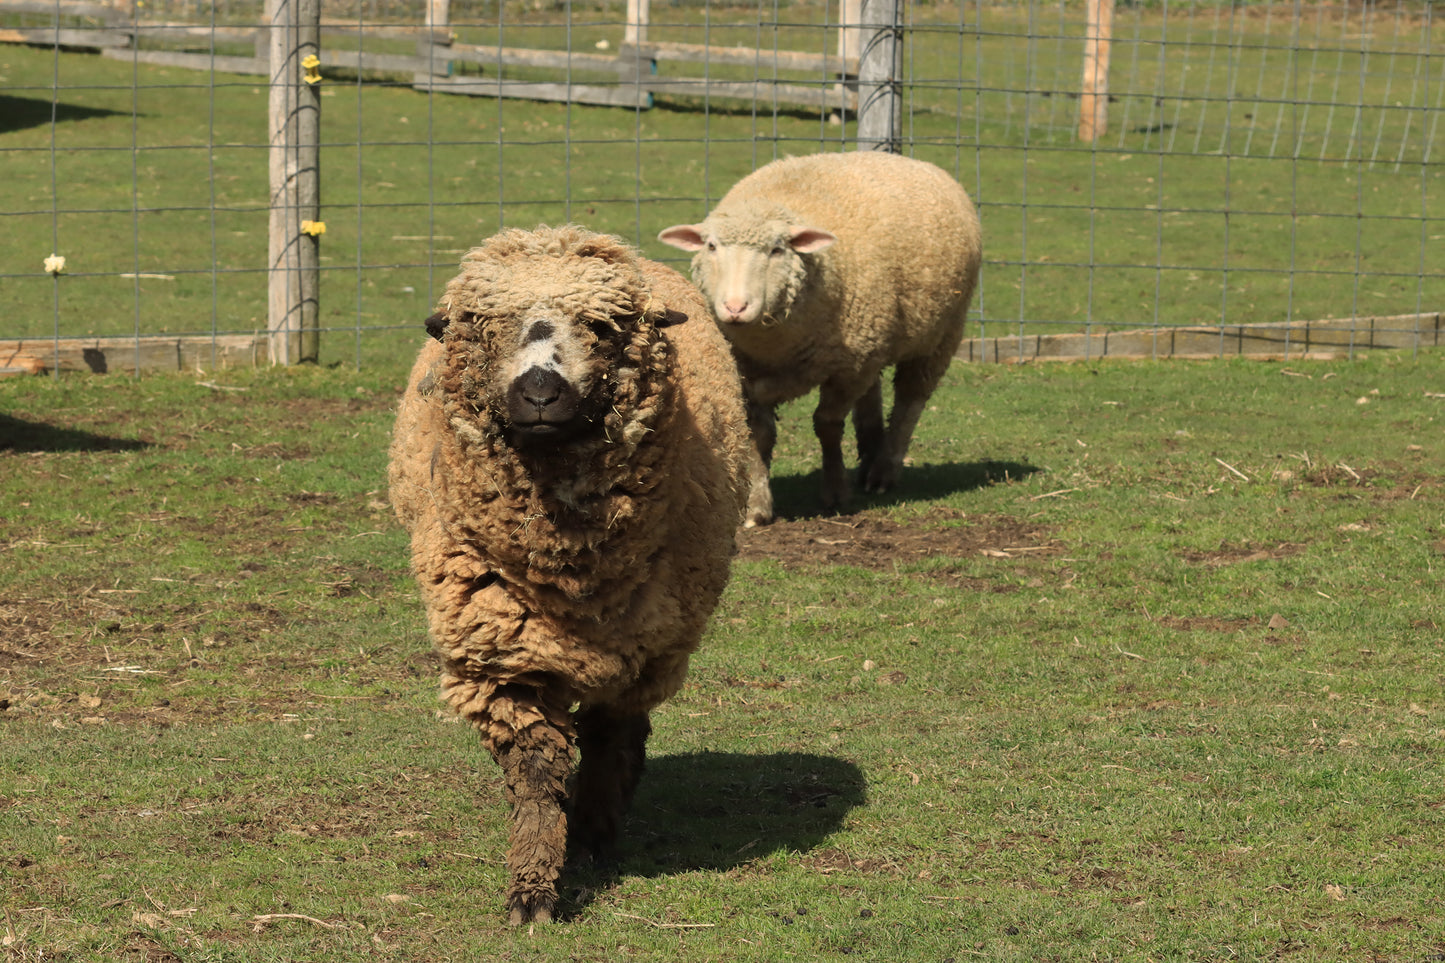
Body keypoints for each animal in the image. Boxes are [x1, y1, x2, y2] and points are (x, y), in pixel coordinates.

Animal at [390, 222, 751, 925]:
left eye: (603, 327)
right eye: (486, 324)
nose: (538, 393)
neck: (567, 565)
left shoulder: (637, 651)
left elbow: (608, 740)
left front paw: (587, 837)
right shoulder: (500, 656)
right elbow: (535, 771)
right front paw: (532, 890)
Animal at [661, 150, 982, 526]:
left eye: (777, 249)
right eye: (711, 246)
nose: (735, 307)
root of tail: (908, 160)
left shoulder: (846, 370)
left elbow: (827, 426)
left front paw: (834, 493)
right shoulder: (749, 370)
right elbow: (759, 434)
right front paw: (757, 506)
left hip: (940, 334)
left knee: (910, 402)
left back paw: (883, 471)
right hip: (872, 342)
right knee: (873, 393)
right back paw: (870, 453)